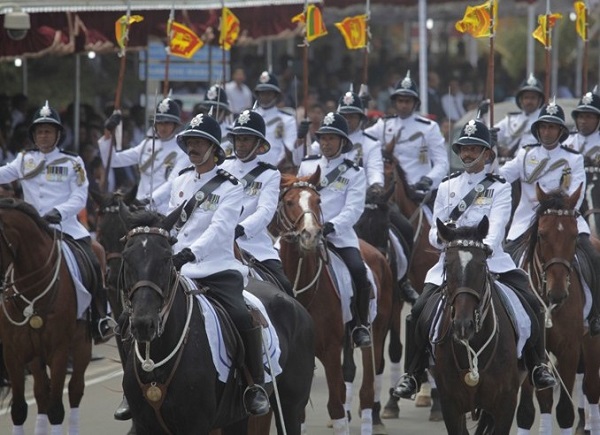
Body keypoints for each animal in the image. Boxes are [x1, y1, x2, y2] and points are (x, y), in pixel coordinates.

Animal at [0, 200, 92, 435]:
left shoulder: (59, 350)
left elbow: (56, 409)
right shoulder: (13, 354)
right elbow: (19, 409)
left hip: (81, 346)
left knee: (75, 390)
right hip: (35, 357)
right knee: (41, 394)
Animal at [116, 205, 314, 435]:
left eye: (166, 258)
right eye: (126, 256)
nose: (143, 324)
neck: (157, 360)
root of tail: (293, 302)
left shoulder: (196, 425)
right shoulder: (144, 425)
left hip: (291, 405)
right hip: (236, 417)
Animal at [276, 168, 394, 435]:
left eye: (317, 201)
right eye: (289, 202)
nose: (310, 234)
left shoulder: (330, 351)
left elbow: (336, 407)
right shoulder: (304, 358)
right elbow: (299, 412)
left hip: (375, 333)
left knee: (367, 389)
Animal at [510, 185, 600, 435]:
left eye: (574, 235)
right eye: (541, 234)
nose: (558, 293)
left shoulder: (569, 350)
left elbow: (565, 411)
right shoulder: (530, 352)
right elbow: (527, 411)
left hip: (591, 340)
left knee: (591, 388)